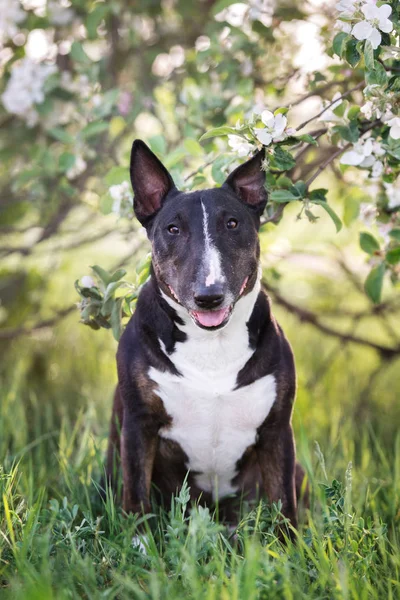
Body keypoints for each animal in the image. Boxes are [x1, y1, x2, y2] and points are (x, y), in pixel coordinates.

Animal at [107, 142, 306, 536]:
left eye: (232, 223)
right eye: (172, 229)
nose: (209, 296)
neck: (211, 344)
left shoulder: (277, 430)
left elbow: (284, 503)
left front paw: (291, 548)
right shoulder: (137, 425)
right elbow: (136, 498)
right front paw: (139, 544)